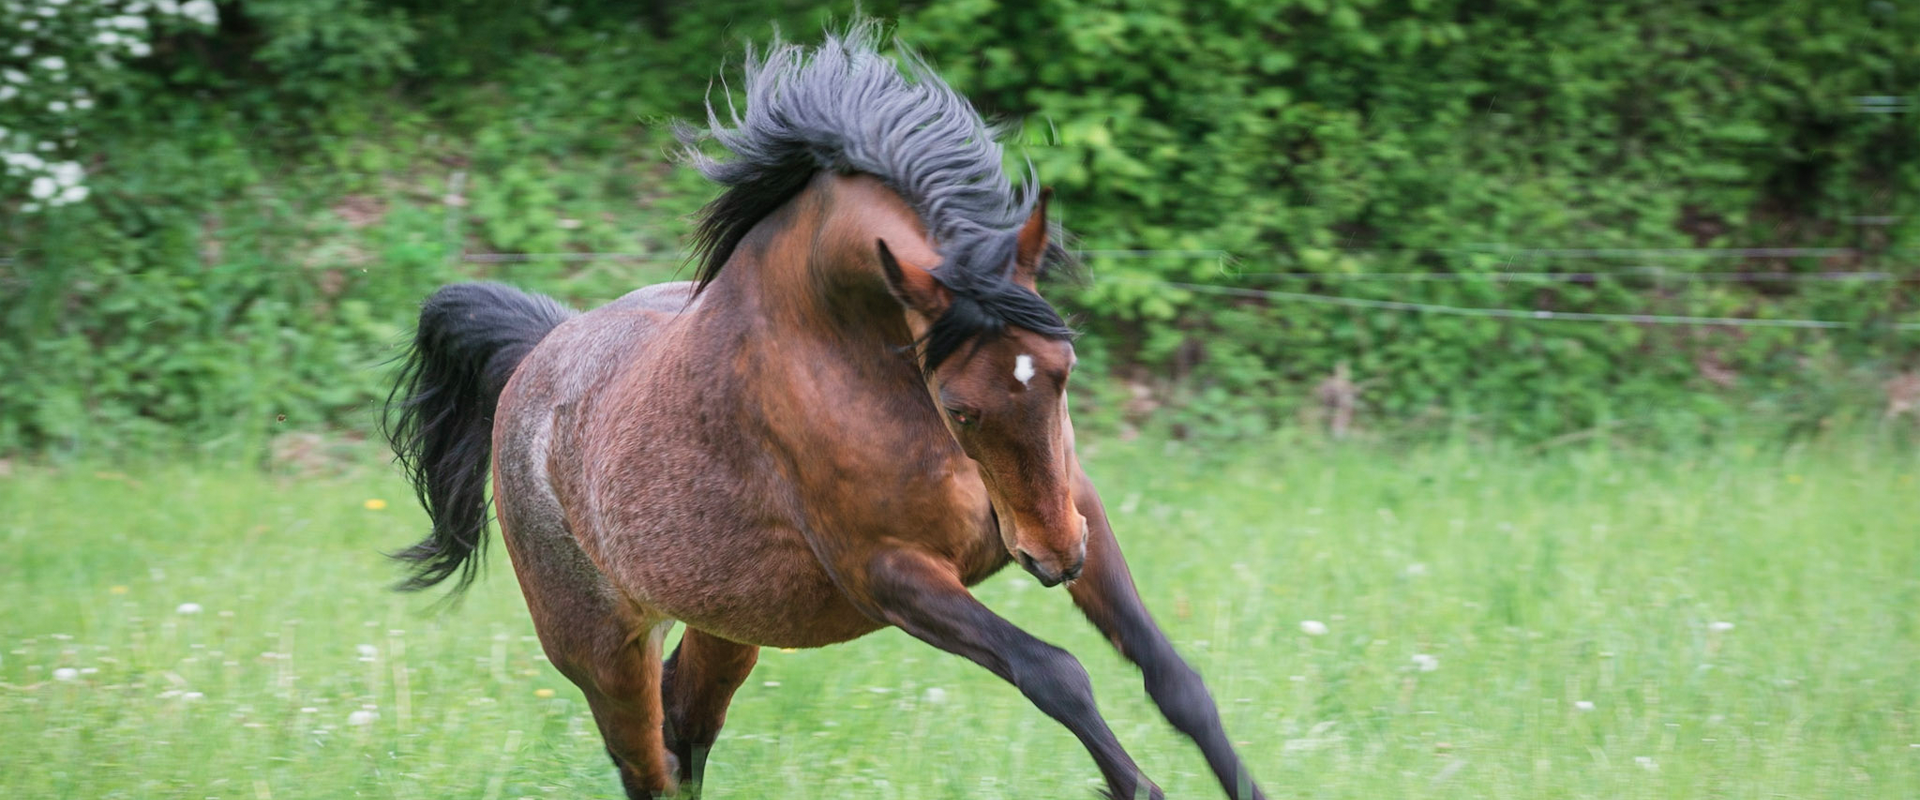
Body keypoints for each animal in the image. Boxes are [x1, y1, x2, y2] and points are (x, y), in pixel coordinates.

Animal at [382, 24, 1267, 798]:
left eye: (1063, 368)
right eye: (960, 408)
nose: (1050, 559)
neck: (864, 371)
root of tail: (537, 352)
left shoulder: (1078, 504)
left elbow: (1174, 680)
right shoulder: (889, 575)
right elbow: (1057, 674)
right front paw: (1136, 786)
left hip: (729, 629)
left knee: (683, 728)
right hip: (601, 650)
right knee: (647, 761)